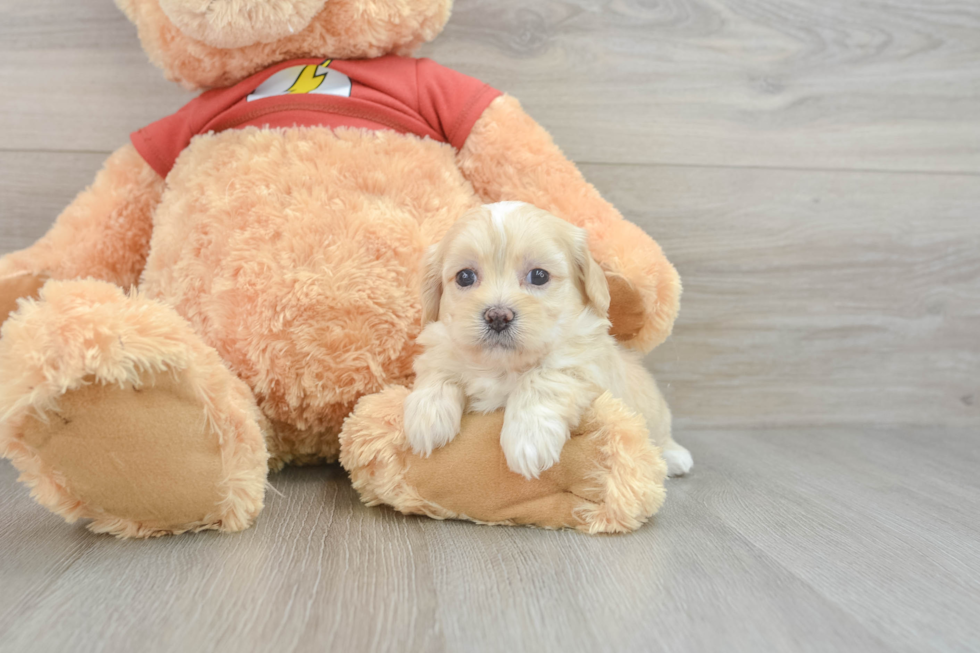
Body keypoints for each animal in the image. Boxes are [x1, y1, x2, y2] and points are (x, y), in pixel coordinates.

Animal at [402, 201, 692, 476]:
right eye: (465, 276)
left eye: (539, 276)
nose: (498, 316)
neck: (502, 367)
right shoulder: (441, 345)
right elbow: (438, 370)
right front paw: (427, 417)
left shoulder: (583, 365)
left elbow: (542, 379)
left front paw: (528, 440)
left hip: (655, 413)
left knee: (660, 436)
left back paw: (675, 457)